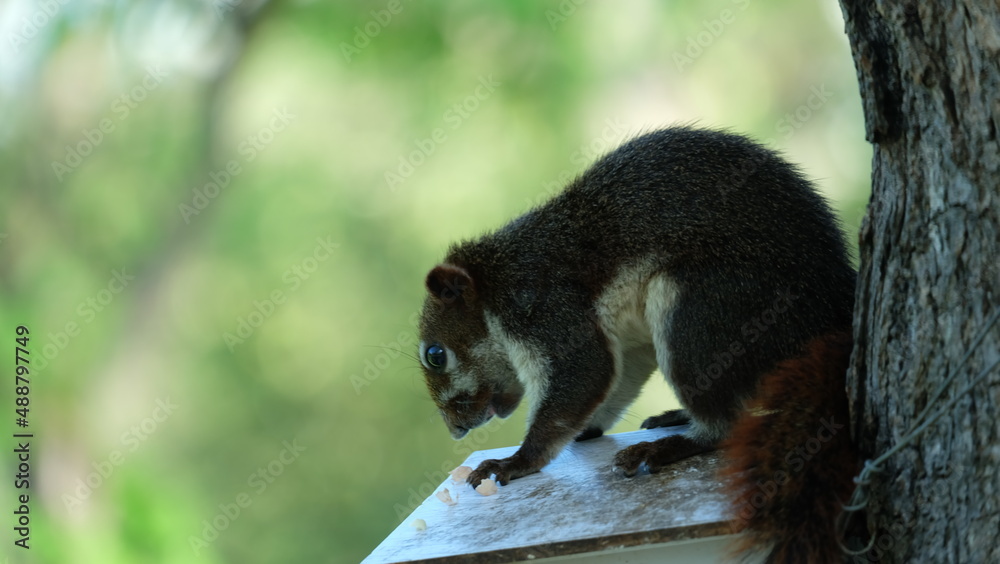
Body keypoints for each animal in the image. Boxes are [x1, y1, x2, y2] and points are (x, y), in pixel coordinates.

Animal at [417, 127, 858, 562]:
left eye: (435, 354)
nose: (455, 430)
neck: (494, 283)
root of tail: (833, 308)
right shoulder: (627, 345)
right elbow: (612, 384)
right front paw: (586, 429)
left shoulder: (543, 308)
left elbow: (585, 373)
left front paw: (515, 461)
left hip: (704, 309)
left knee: (724, 424)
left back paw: (669, 445)